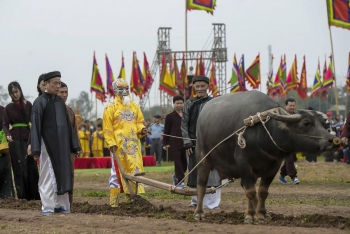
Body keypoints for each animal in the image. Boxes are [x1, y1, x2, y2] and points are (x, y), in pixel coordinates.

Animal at [194, 90, 340, 222]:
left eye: (323, 124)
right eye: (306, 123)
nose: (332, 140)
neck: (266, 130)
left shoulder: (274, 166)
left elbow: (262, 192)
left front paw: (261, 214)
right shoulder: (244, 164)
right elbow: (250, 191)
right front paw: (249, 215)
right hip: (203, 159)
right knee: (201, 186)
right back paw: (199, 213)